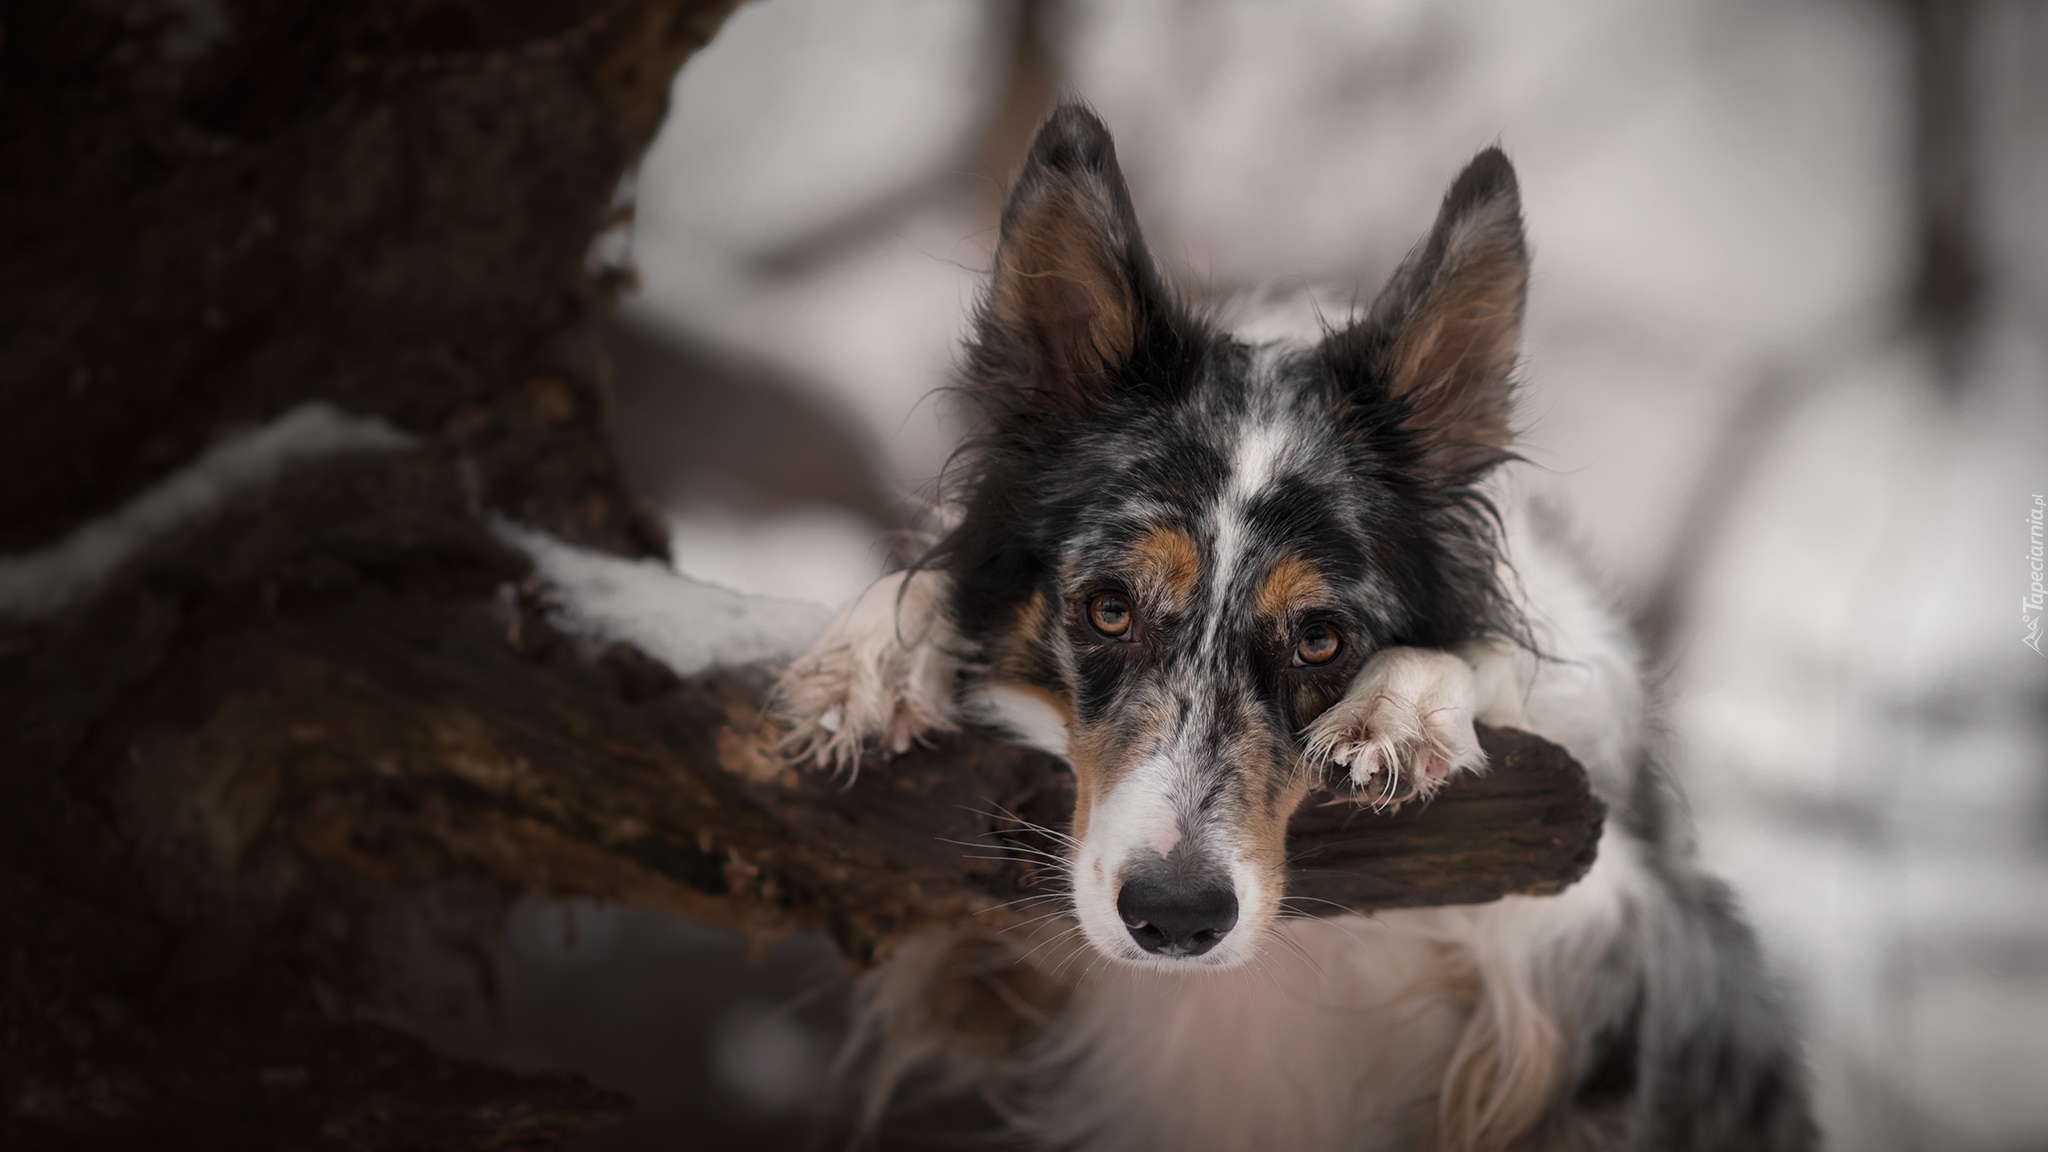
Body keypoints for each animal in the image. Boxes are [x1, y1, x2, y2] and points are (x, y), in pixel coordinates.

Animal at [770, 105, 1810, 1147]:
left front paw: (1407, 708)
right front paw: (876, 652)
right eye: (1109, 609)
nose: (1174, 917)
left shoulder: (1630, 951)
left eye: (1321, 641)